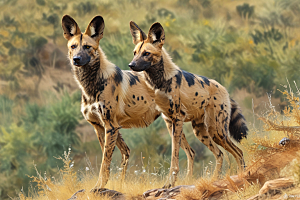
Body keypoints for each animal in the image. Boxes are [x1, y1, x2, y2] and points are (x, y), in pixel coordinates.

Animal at [61, 15, 196, 189]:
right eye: (73, 46)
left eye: (87, 47)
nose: (76, 59)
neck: (90, 85)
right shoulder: (100, 127)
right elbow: (118, 156)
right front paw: (116, 184)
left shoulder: (111, 127)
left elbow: (105, 162)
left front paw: (99, 186)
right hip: (170, 123)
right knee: (191, 152)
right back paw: (188, 181)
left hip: (174, 123)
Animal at [127, 21, 247, 187]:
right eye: (134, 53)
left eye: (146, 53)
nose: (131, 65)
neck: (158, 82)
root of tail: (224, 89)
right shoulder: (169, 121)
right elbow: (182, 154)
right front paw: (172, 183)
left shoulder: (177, 119)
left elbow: (174, 158)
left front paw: (169, 184)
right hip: (201, 131)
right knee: (218, 154)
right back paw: (213, 179)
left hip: (217, 131)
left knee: (238, 152)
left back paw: (242, 177)